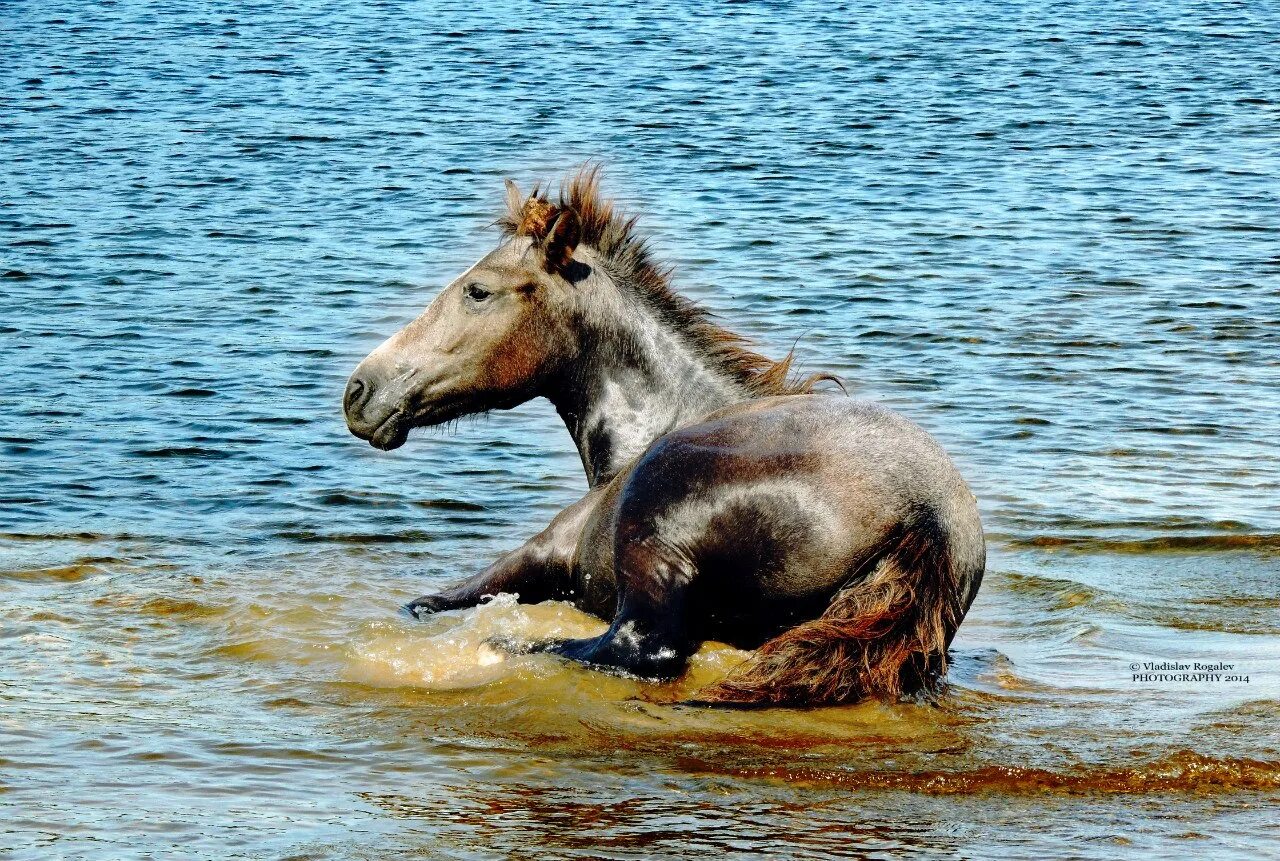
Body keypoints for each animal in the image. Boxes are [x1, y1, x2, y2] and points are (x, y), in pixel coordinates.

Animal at [340, 167, 977, 706]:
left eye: (478, 290)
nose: (360, 392)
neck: (652, 425)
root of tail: (927, 514)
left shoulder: (545, 552)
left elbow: (434, 600)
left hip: (653, 532)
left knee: (639, 647)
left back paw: (508, 645)